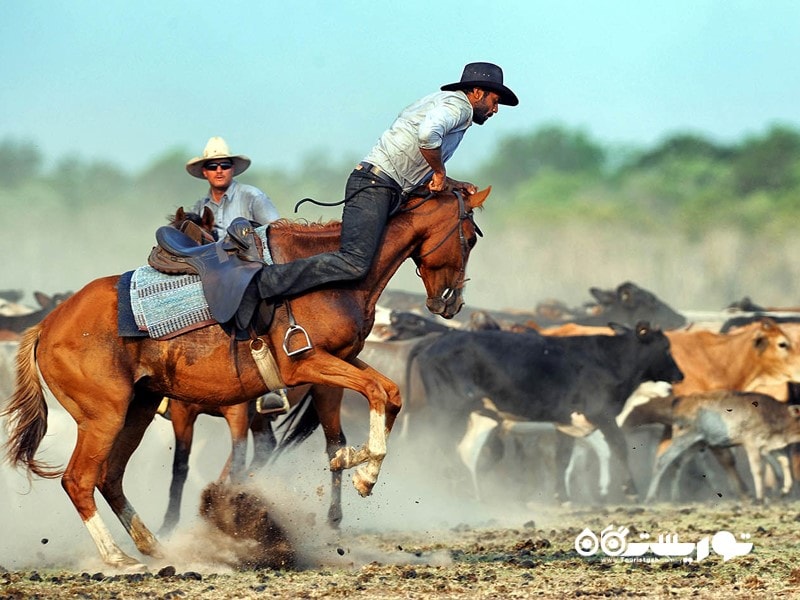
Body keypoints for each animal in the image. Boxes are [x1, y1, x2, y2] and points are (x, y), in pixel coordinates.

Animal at [3, 185, 490, 568]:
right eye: (468, 237)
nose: (450, 302)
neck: (330, 272)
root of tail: (46, 326)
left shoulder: (335, 365)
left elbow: (386, 395)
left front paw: (355, 463)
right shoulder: (302, 365)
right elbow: (373, 393)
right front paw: (364, 472)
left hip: (136, 409)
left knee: (110, 477)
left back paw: (155, 546)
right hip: (103, 416)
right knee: (79, 479)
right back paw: (118, 557)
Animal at [406, 324, 680, 502]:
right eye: (666, 348)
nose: (679, 376)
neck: (608, 359)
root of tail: (436, 339)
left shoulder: (566, 423)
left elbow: (563, 458)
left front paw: (562, 496)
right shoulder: (601, 413)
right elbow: (618, 446)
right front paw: (630, 490)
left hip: (476, 416)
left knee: (466, 451)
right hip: (447, 411)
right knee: (435, 446)